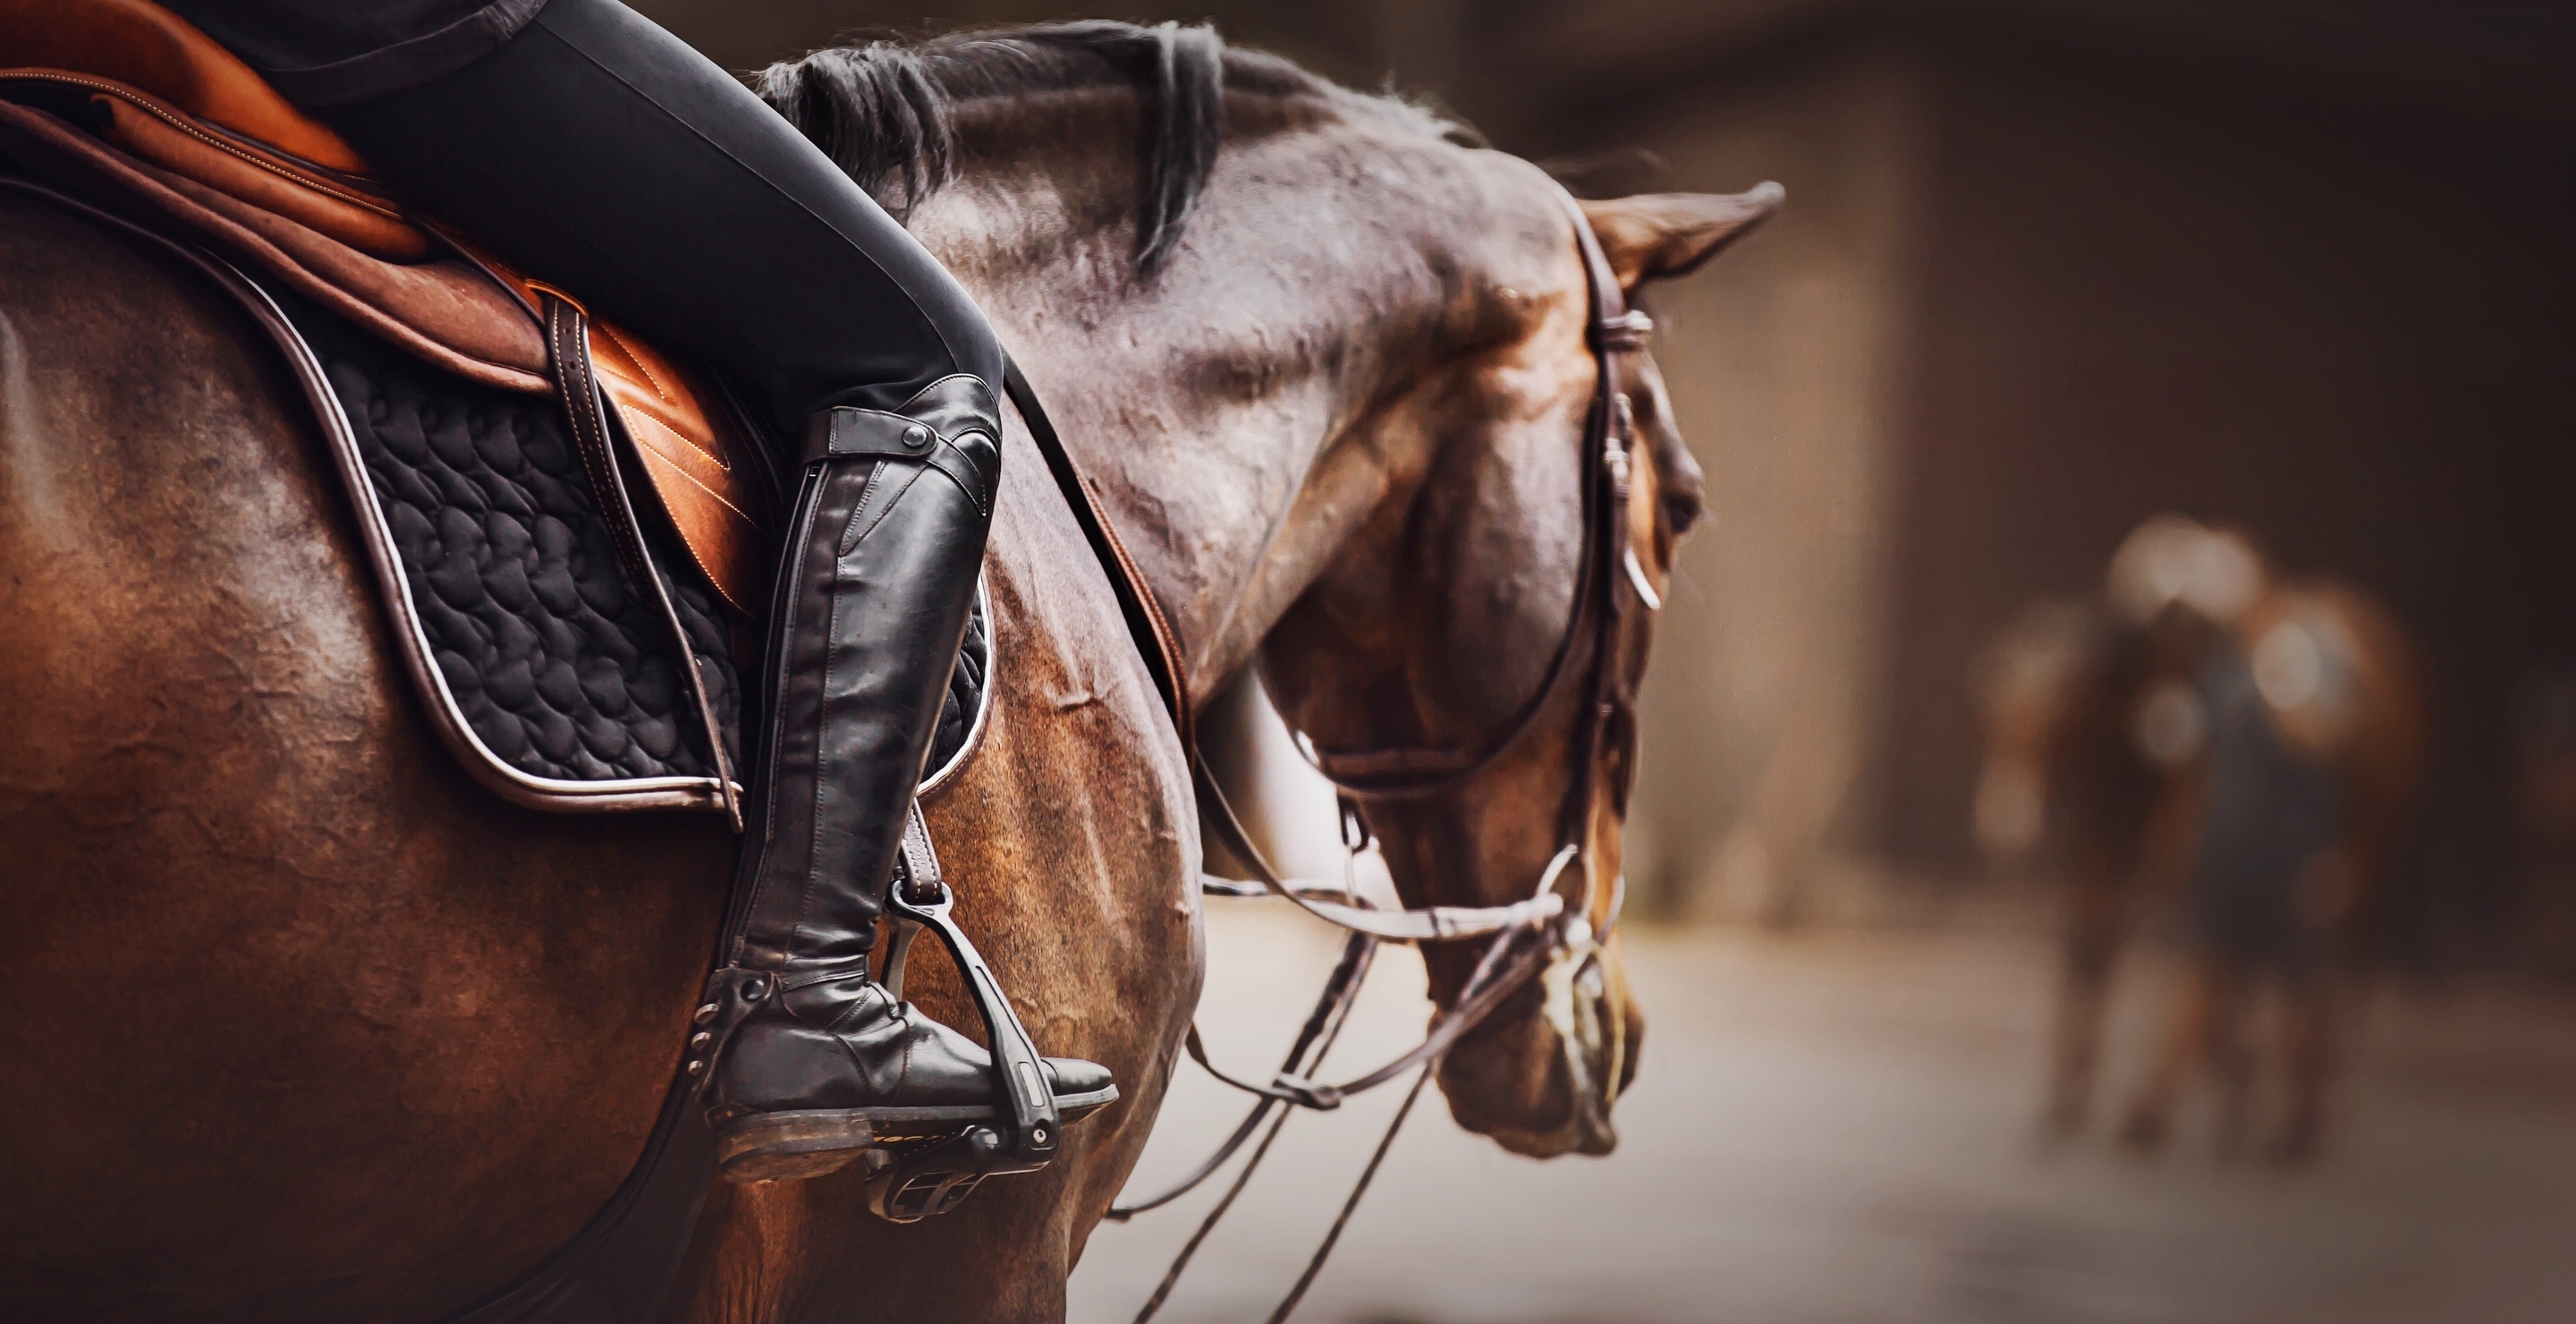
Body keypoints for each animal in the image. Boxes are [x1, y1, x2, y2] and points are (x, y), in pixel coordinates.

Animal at [1973, 514, 2426, 1162]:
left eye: (2055, 718)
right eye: (1990, 719)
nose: (2004, 826)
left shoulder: (2187, 864)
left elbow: (2193, 967)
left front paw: (2159, 1102)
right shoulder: (2101, 853)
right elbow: (2090, 959)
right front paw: (2070, 1100)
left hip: (2364, 848)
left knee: (2318, 960)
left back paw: (2286, 1107)